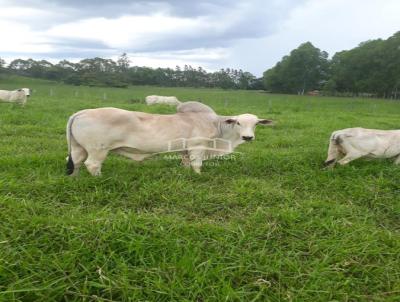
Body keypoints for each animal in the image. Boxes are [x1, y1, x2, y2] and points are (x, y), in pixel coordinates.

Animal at [65, 102, 274, 176]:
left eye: (256, 123)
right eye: (238, 122)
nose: (248, 137)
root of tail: (81, 112)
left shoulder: (185, 150)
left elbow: (186, 164)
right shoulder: (198, 147)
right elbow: (197, 165)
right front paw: (199, 176)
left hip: (78, 147)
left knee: (75, 161)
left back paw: (75, 178)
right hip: (98, 149)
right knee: (92, 164)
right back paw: (99, 178)